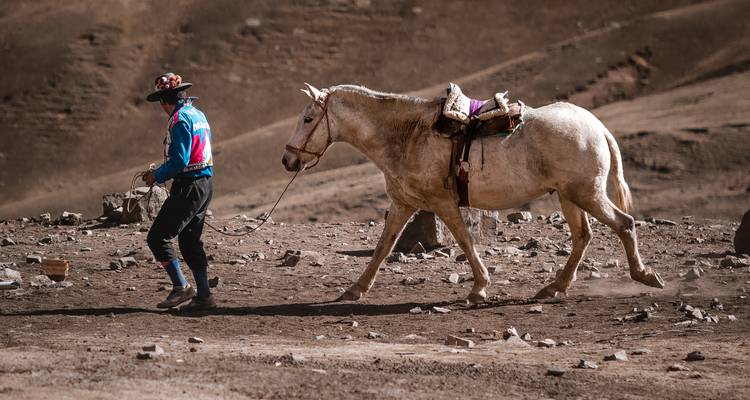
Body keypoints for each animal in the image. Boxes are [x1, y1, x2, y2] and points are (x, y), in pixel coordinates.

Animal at [282, 83, 665, 303]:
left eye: (307, 118)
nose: (288, 159)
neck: (407, 134)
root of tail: (596, 126)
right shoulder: (404, 203)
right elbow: (383, 247)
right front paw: (355, 289)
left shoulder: (443, 203)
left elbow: (464, 241)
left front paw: (479, 287)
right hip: (569, 196)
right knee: (583, 236)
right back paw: (554, 287)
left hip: (586, 193)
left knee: (624, 223)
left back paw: (644, 276)